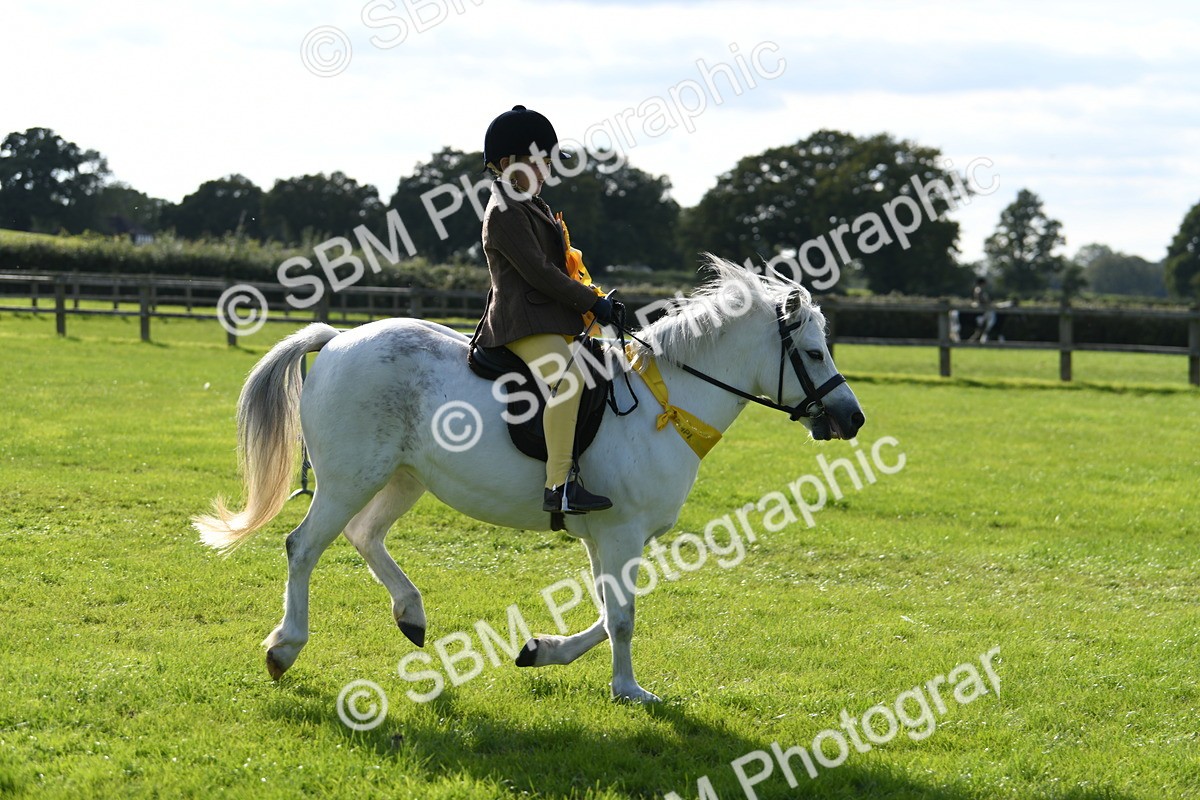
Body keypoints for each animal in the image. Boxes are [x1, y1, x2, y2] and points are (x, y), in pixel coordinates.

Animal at [194, 256, 865, 703]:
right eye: (812, 353)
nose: (852, 418)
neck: (665, 405)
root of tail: (337, 340)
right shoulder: (621, 534)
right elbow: (623, 616)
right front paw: (630, 691)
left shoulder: (605, 536)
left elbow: (607, 611)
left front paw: (542, 651)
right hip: (347, 480)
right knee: (303, 547)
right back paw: (284, 647)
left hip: (403, 477)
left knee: (364, 536)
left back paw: (411, 615)